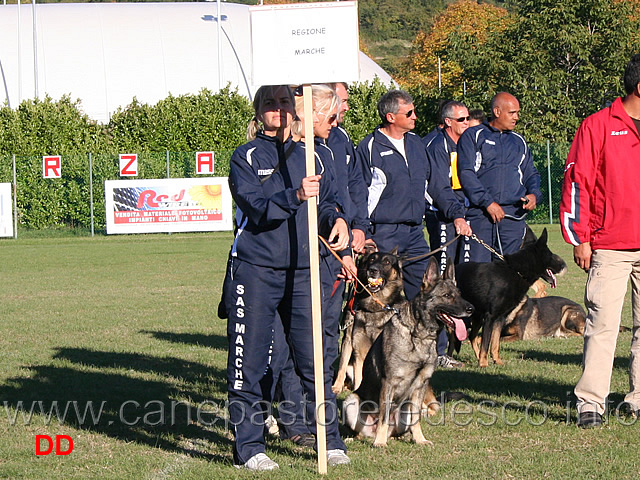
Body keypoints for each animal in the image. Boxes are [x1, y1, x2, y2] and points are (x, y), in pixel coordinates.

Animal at [332, 248, 402, 394]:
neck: (373, 308)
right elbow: (343, 366)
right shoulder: (350, 341)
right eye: (371, 259)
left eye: (387, 262)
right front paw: (337, 387)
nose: (372, 270)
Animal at [342, 258, 472, 446]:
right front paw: (380, 443)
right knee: (362, 431)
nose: (471, 309)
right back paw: (363, 438)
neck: (419, 336)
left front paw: (420, 439)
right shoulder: (389, 383)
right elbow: (384, 417)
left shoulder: (420, 385)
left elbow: (416, 418)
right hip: (351, 401)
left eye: (460, 294)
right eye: (447, 295)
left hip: (404, 409)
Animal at [456, 229, 564, 368]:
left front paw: (496, 360)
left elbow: (495, 343)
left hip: (477, 317)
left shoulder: (499, 318)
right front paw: (484, 364)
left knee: (472, 337)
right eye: (550, 255)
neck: (515, 271)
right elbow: (486, 343)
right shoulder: (490, 318)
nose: (563, 265)